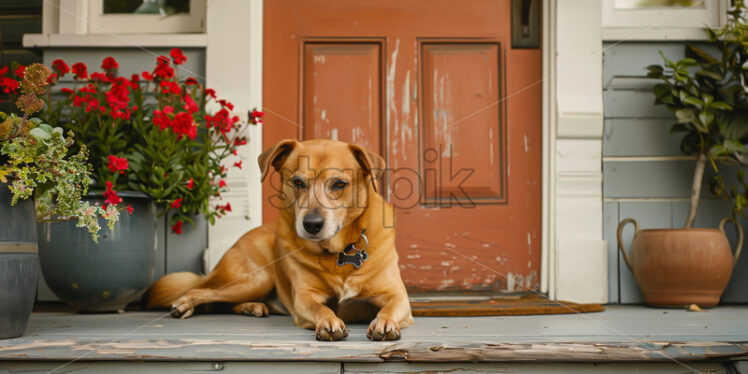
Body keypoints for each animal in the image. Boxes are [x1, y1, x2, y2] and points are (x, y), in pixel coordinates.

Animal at [146, 139, 414, 340]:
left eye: (340, 184)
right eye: (297, 182)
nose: (311, 224)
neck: (339, 253)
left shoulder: (398, 296)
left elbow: (390, 306)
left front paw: (385, 322)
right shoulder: (304, 298)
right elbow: (321, 307)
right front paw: (329, 320)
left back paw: (252, 307)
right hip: (256, 278)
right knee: (202, 290)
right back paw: (185, 304)